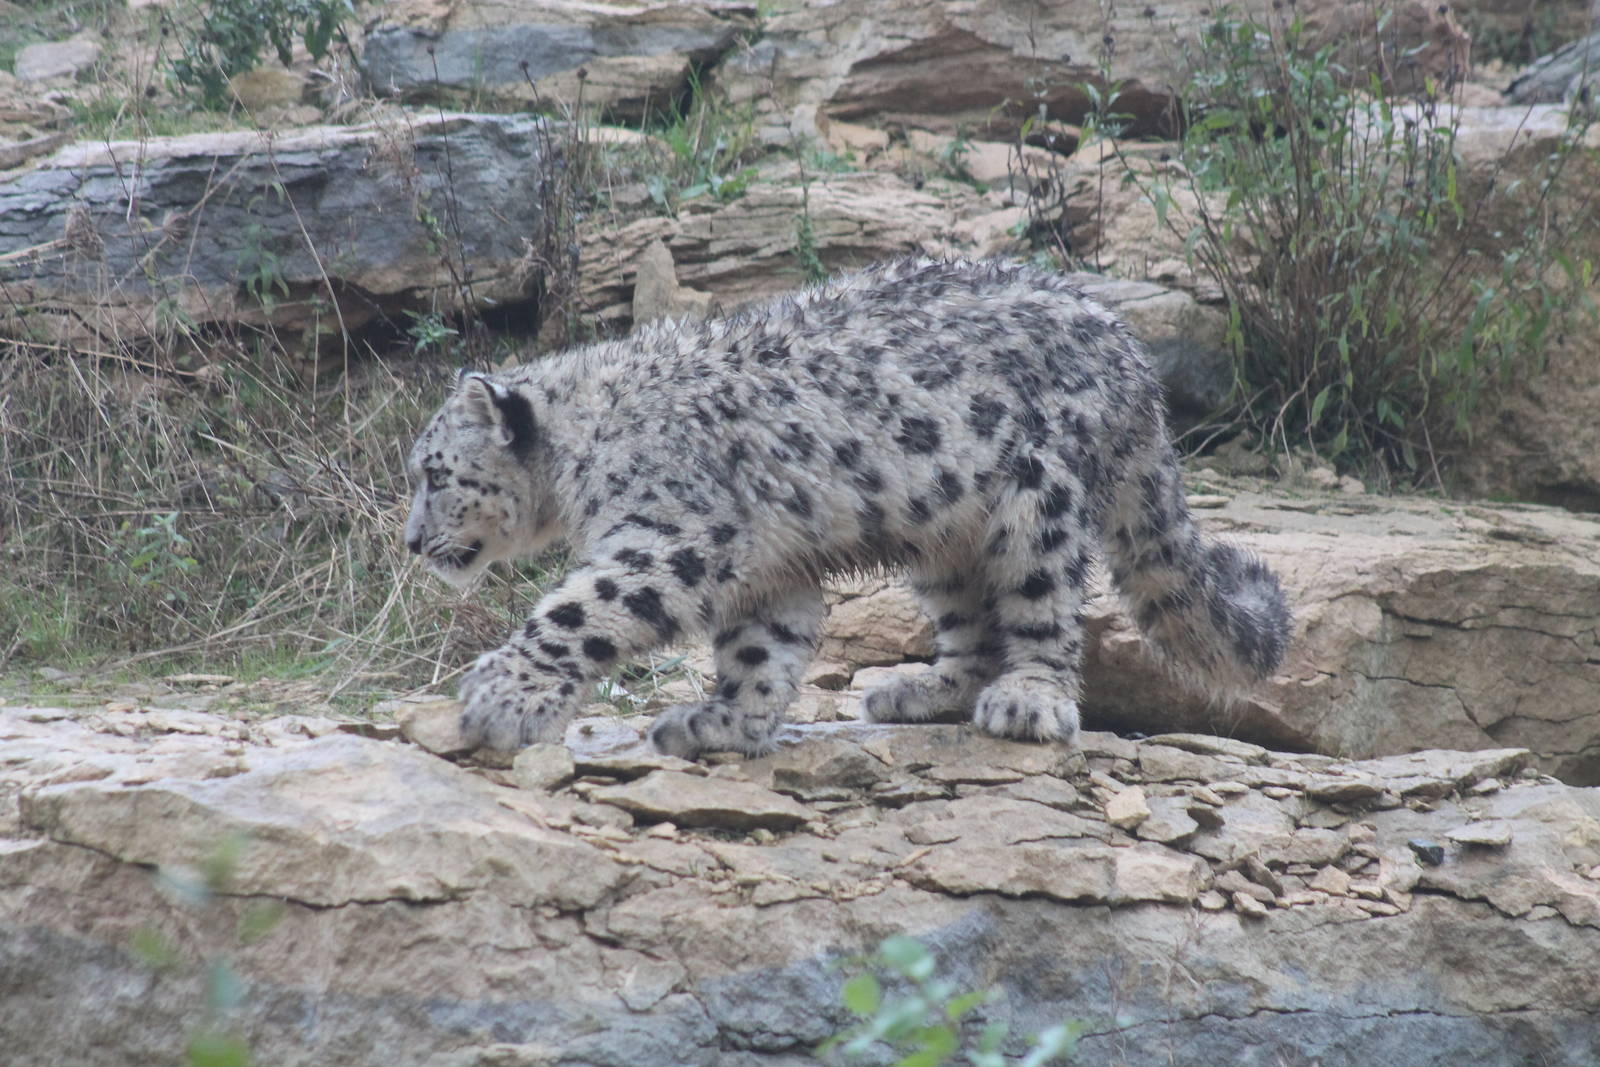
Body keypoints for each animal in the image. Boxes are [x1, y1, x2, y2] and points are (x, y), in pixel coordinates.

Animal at [403, 257, 1291, 760]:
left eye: (434, 473)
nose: (411, 542)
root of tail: (1132, 354)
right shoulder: (768, 567)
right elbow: (762, 651)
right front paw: (723, 724)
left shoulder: (675, 533)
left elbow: (582, 609)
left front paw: (503, 694)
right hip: (946, 536)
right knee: (972, 626)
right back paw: (925, 692)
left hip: (1037, 498)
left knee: (1043, 606)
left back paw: (1029, 699)